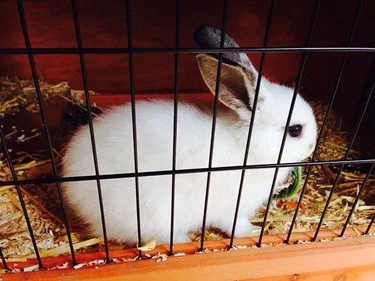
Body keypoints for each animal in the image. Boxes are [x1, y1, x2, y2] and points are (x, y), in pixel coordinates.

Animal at [62, 26, 318, 245]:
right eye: (295, 130)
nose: (312, 146)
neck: (248, 146)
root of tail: (71, 186)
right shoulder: (231, 206)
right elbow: (234, 225)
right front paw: (253, 232)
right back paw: (183, 240)